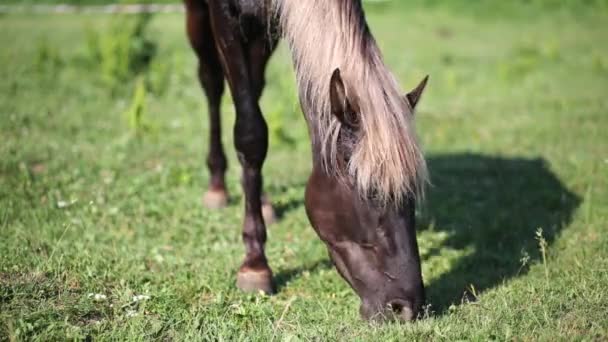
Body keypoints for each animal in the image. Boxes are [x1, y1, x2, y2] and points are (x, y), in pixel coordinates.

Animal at [183, 0, 430, 322]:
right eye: (368, 193)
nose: (406, 307)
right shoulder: (225, 17)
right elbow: (250, 133)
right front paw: (255, 265)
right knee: (211, 81)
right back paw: (217, 185)